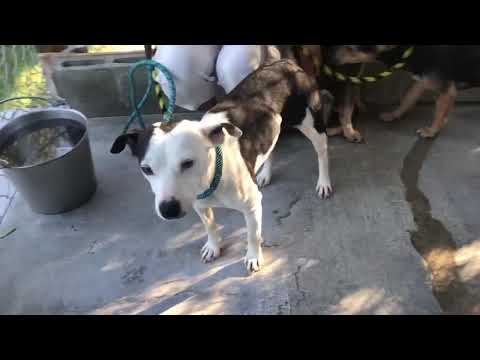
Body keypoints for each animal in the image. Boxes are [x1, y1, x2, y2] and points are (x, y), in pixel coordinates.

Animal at [328, 45, 480, 139]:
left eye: (351, 48)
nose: (330, 58)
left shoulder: (447, 90)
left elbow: (438, 113)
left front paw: (431, 131)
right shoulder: (421, 82)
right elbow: (408, 98)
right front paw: (394, 114)